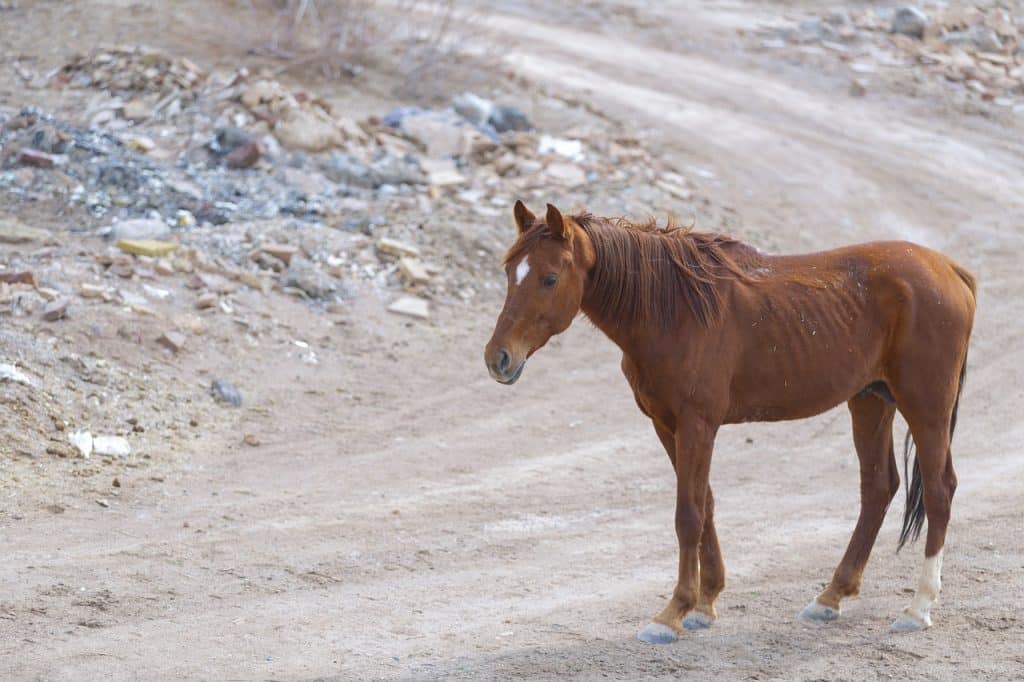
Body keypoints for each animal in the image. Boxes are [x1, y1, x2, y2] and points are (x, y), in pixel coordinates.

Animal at [483, 199, 978, 638]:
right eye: (509, 273)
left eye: (549, 278)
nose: (498, 359)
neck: (673, 308)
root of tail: (950, 270)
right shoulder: (667, 425)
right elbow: (706, 505)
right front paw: (705, 602)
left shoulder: (697, 424)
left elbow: (688, 514)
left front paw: (673, 613)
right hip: (870, 402)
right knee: (878, 488)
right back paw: (830, 597)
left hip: (925, 407)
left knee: (939, 492)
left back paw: (918, 608)